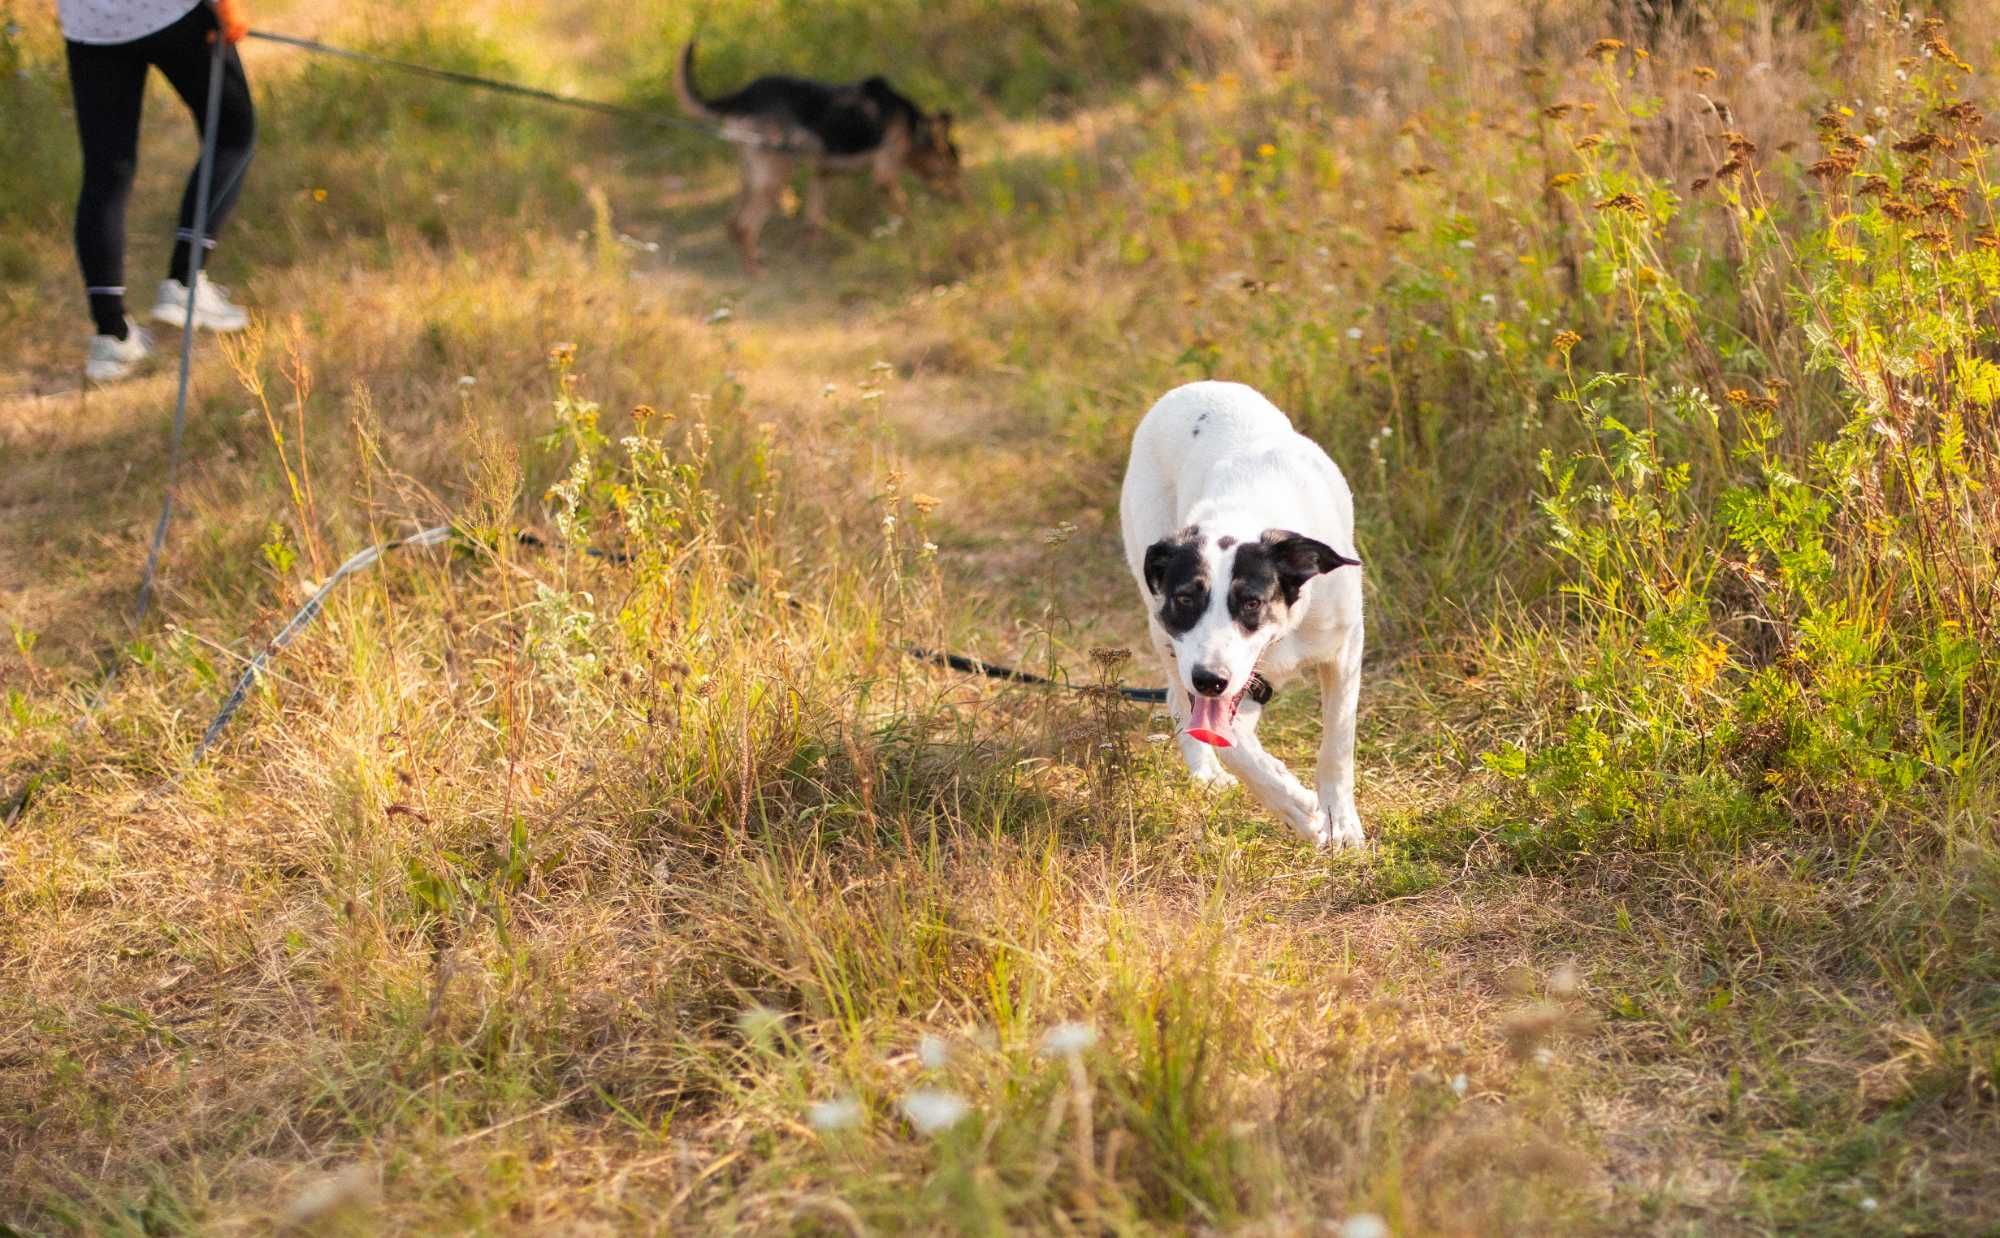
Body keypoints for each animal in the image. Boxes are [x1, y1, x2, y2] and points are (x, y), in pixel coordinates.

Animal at [676, 40, 964, 272]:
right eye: (953, 171)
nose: (964, 201)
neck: (913, 127)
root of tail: (743, 96)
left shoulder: (822, 174)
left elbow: (814, 222)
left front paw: (811, 255)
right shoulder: (884, 175)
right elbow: (904, 211)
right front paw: (918, 234)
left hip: (750, 175)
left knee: (732, 223)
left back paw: (755, 260)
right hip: (776, 174)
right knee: (746, 226)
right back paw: (756, 272)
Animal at [1120, 386, 1368, 852]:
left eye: (1251, 602)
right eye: (1185, 598)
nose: (1209, 680)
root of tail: (1195, 385)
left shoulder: (1344, 648)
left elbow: (1337, 745)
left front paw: (1339, 820)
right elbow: (1227, 741)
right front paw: (1294, 806)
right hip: (1159, 622)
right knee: (1179, 701)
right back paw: (1207, 771)